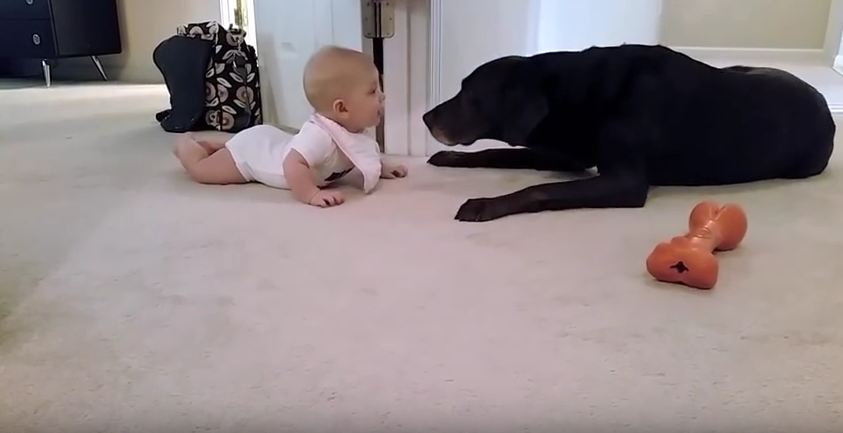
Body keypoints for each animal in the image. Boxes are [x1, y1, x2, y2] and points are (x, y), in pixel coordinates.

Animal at [426, 44, 836, 221]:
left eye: (470, 94)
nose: (426, 118)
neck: (578, 90)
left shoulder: (625, 181)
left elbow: (539, 190)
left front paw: (484, 204)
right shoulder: (566, 153)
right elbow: (498, 152)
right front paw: (451, 158)